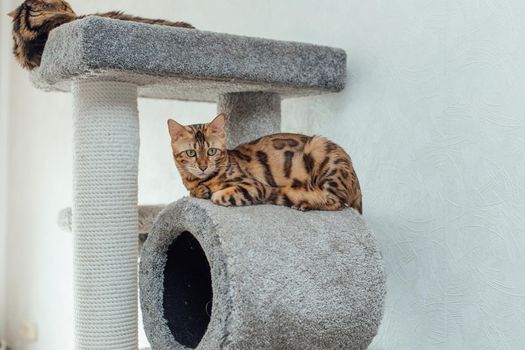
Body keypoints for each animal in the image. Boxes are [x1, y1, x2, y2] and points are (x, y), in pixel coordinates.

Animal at [166, 115, 362, 213]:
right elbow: (193, 192)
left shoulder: (254, 186)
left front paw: (211, 193)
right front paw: (199, 191)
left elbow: (218, 196)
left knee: (337, 201)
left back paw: (305, 203)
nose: (203, 166)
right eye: (191, 153)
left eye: (211, 151)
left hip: (320, 151)